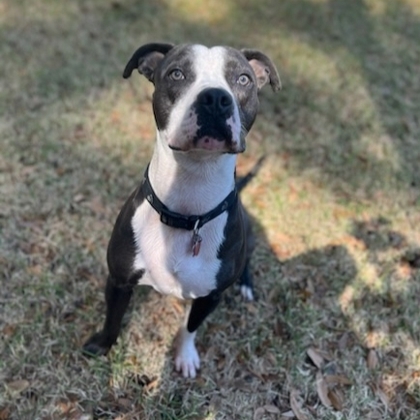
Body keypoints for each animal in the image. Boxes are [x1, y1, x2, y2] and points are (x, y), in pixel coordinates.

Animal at [82, 42, 278, 378]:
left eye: (243, 79)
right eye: (176, 73)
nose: (216, 98)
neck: (189, 208)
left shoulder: (210, 297)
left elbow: (190, 327)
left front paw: (185, 356)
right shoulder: (118, 281)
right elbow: (113, 319)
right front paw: (101, 345)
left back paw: (246, 285)